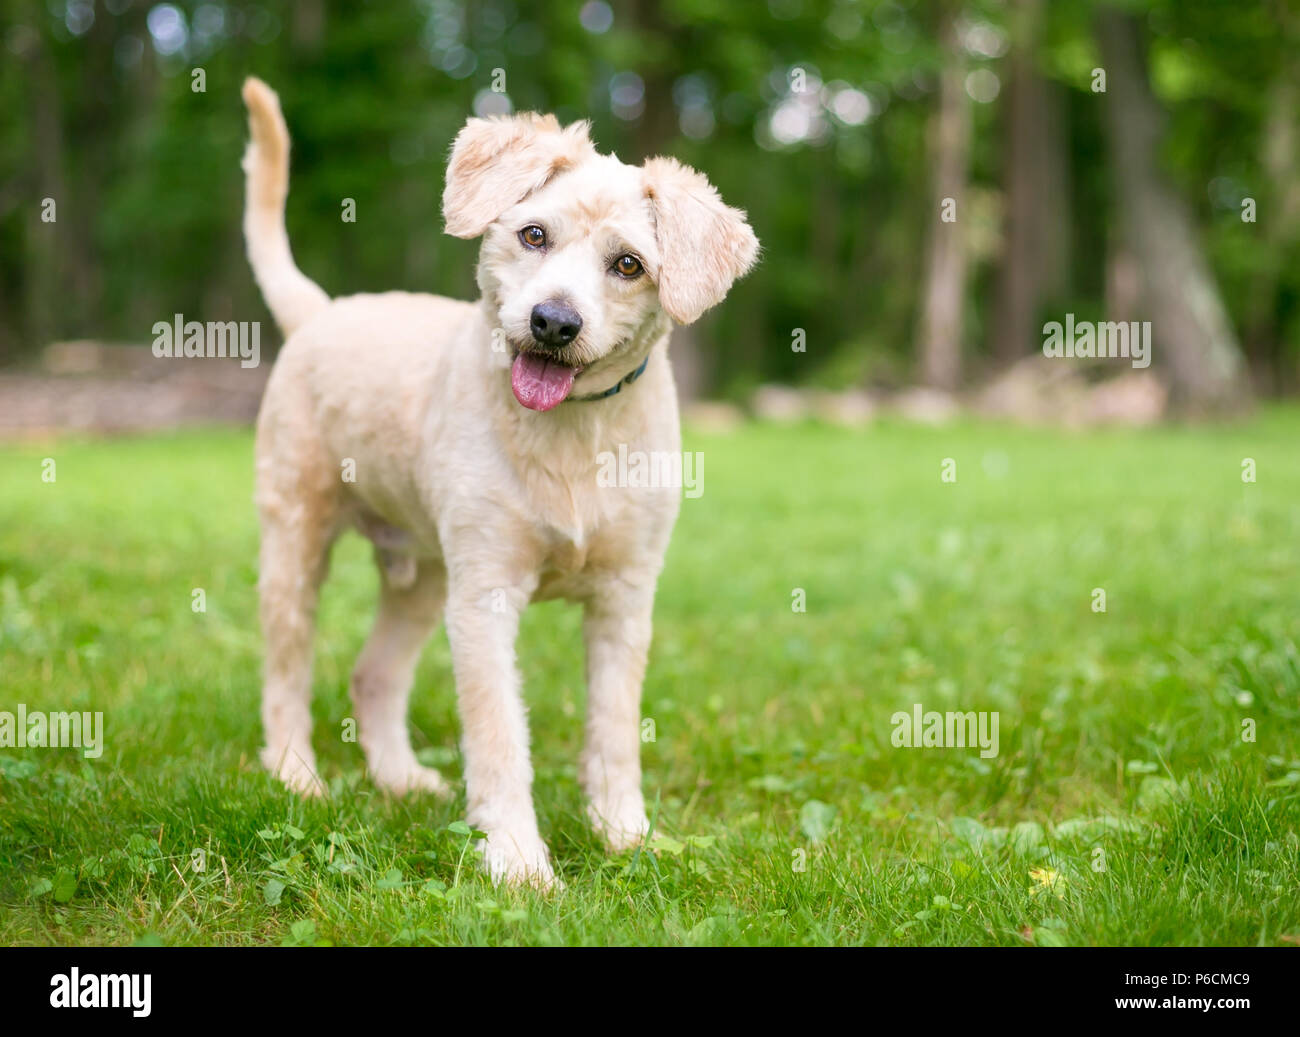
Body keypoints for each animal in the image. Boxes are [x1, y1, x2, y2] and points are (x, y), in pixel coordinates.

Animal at [239, 77, 759, 888]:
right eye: (533, 235)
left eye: (629, 265)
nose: (553, 322)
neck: (572, 434)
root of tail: (321, 313)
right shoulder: (484, 597)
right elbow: (497, 734)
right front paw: (516, 859)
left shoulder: (625, 596)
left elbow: (614, 729)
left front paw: (624, 833)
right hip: (296, 540)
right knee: (286, 675)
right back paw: (297, 775)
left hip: (423, 577)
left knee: (373, 675)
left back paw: (399, 779)